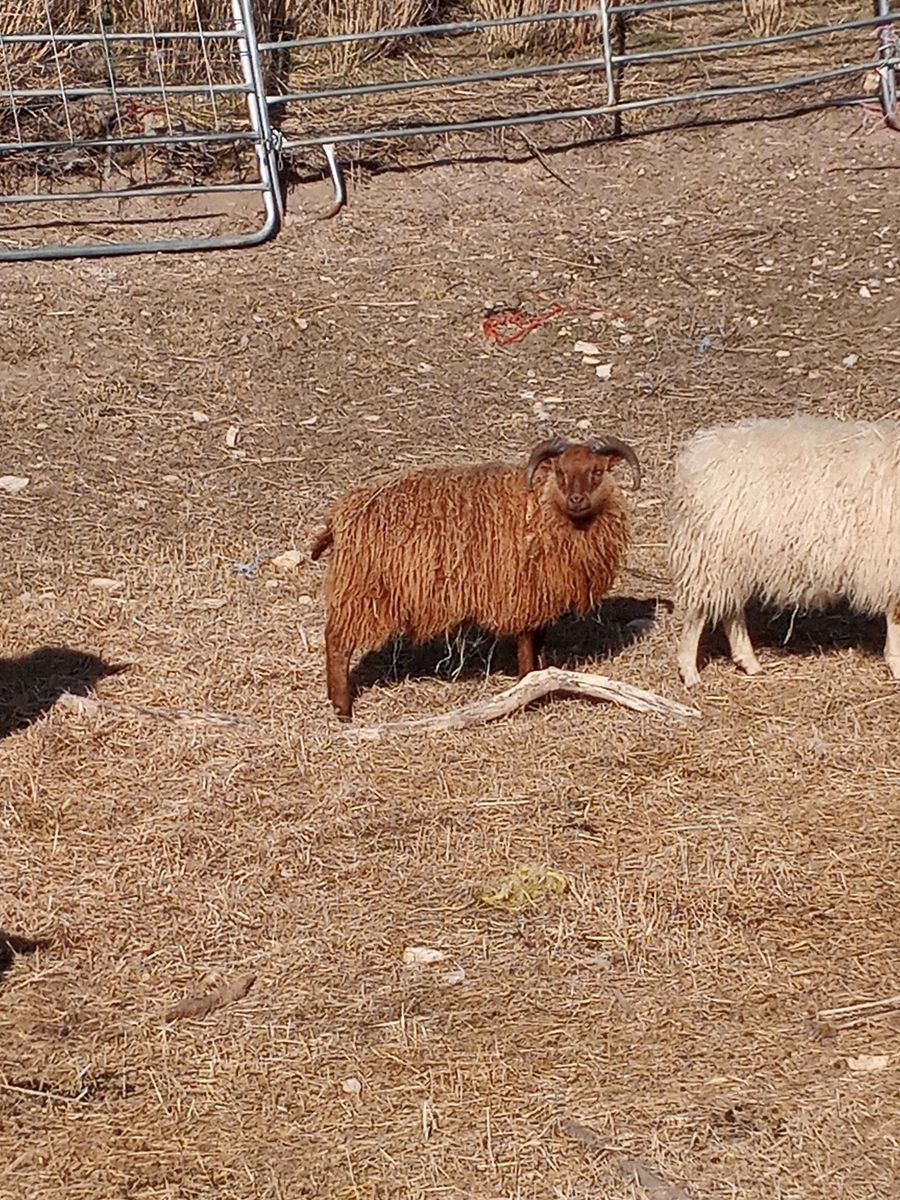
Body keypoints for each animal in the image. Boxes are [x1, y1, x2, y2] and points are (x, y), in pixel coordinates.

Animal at [309, 436, 642, 719]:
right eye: (560, 471)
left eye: (597, 471)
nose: (577, 499)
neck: (544, 508)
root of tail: (338, 517)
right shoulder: (522, 592)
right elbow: (526, 645)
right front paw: (527, 691)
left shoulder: (540, 596)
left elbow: (539, 641)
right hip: (360, 591)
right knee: (336, 644)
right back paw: (342, 709)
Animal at [670, 414, 900, 687]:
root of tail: (696, 456)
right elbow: (896, 619)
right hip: (713, 554)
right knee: (699, 611)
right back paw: (689, 671)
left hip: (731, 559)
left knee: (730, 609)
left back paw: (748, 662)